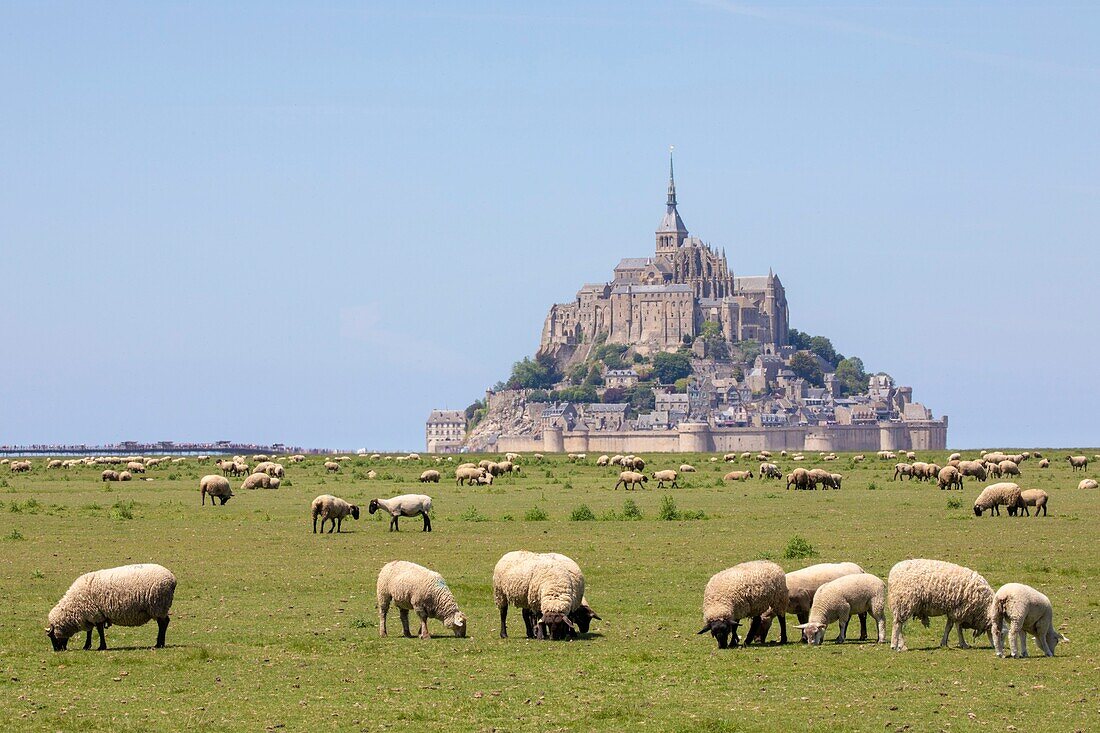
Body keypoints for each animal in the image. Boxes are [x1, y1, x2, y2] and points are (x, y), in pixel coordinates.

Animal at [45, 561, 176, 647]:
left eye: (52, 637)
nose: (57, 650)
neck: (74, 604)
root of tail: (172, 578)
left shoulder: (95, 614)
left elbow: (99, 631)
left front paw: (101, 647)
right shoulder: (91, 614)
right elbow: (90, 631)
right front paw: (87, 646)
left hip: (158, 605)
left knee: (163, 624)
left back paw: (159, 644)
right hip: (159, 606)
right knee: (164, 622)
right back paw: (159, 643)